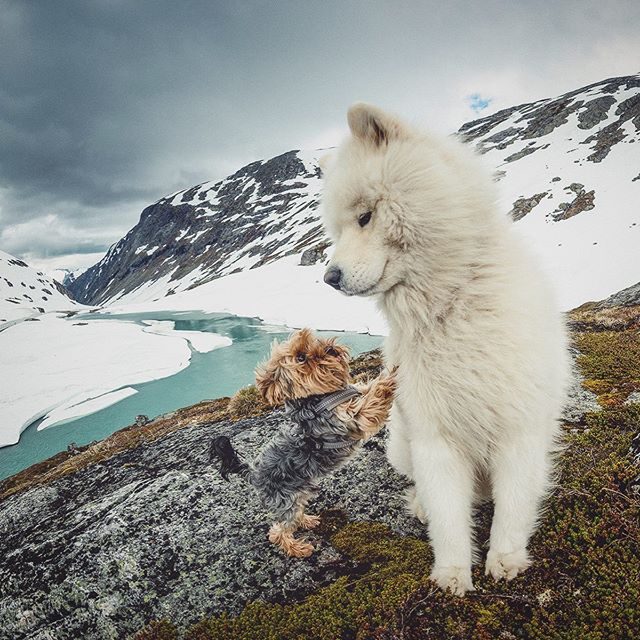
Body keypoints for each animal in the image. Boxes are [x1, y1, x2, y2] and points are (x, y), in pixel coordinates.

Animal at [214, 328, 396, 556]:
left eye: (314, 341)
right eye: (301, 358)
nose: (329, 347)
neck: (318, 400)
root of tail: (253, 474)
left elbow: (367, 387)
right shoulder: (351, 419)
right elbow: (373, 398)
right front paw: (392, 375)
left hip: (299, 493)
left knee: (296, 515)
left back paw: (308, 520)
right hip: (285, 500)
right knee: (278, 531)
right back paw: (298, 549)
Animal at [322, 104, 568, 596]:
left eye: (364, 217)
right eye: (336, 229)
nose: (329, 277)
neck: (449, 304)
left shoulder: (519, 426)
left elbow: (514, 504)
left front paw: (505, 559)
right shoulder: (435, 435)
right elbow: (448, 518)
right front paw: (452, 575)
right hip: (402, 442)